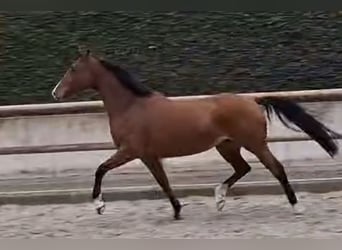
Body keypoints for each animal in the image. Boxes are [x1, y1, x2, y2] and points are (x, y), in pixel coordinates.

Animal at [51, 49, 340, 220]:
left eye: (74, 68)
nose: (55, 92)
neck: (131, 106)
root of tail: (253, 100)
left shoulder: (130, 151)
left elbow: (100, 169)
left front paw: (99, 205)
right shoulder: (148, 156)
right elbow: (163, 182)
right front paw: (177, 211)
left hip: (255, 144)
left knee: (276, 168)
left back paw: (296, 206)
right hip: (227, 146)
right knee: (243, 168)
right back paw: (220, 198)